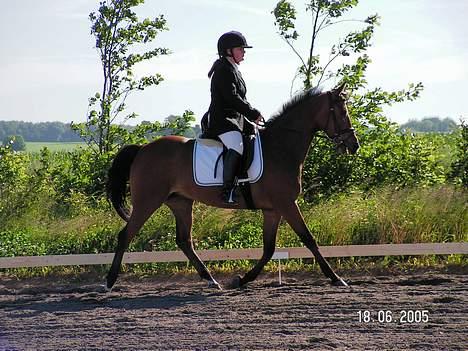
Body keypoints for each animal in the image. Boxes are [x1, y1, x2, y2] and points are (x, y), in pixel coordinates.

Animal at [106, 83, 360, 292]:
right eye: (342, 112)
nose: (354, 145)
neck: (282, 147)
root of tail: (142, 149)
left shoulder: (273, 210)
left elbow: (269, 248)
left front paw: (242, 279)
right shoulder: (287, 204)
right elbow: (308, 239)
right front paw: (336, 278)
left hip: (180, 202)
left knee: (184, 240)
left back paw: (211, 280)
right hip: (148, 201)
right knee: (126, 235)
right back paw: (109, 282)